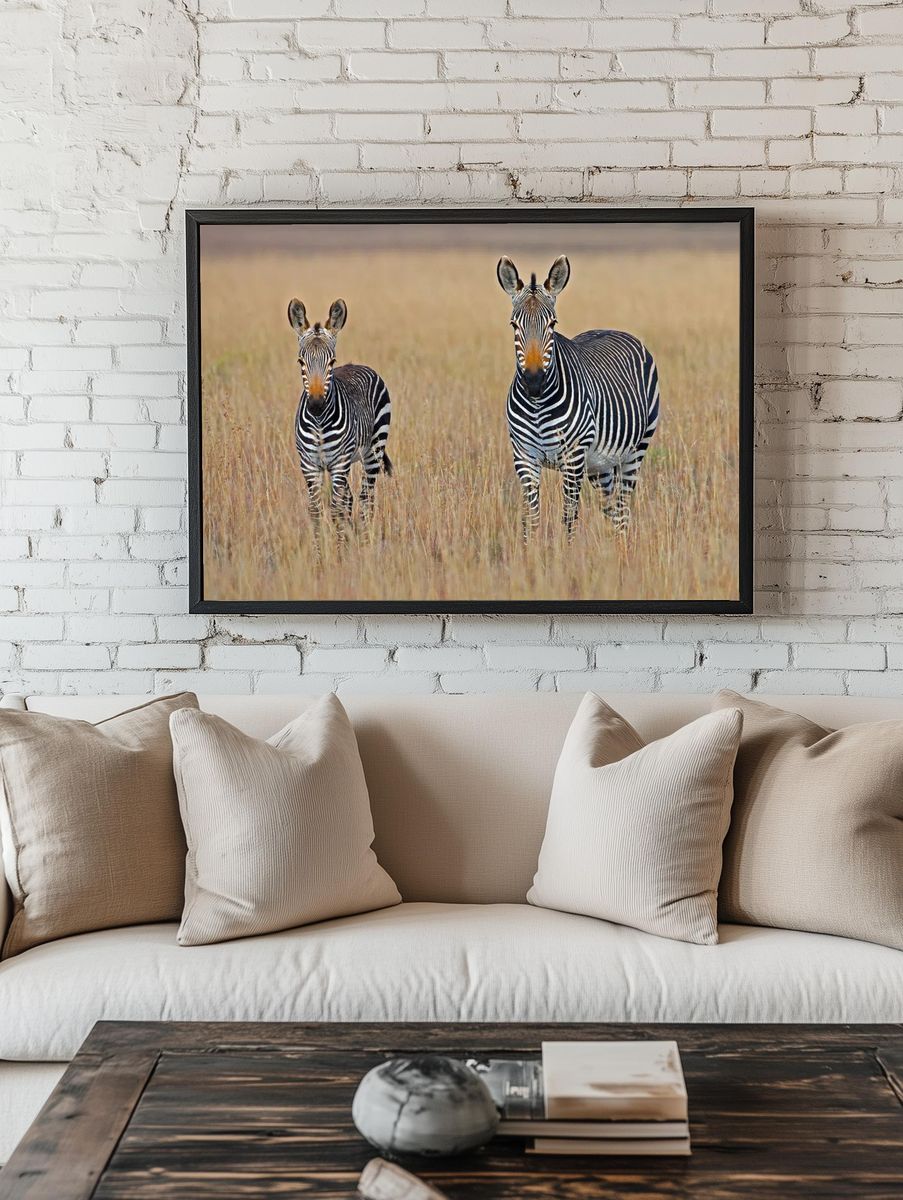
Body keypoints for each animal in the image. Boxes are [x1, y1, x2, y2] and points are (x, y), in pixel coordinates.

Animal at [287, 296, 392, 546]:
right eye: (300, 362)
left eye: (332, 362)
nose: (316, 405)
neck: (318, 423)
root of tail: (357, 364)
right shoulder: (309, 465)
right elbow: (316, 511)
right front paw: (320, 553)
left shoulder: (338, 464)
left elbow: (335, 510)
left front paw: (338, 553)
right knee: (351, 499)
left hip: (373, 452)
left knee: (365, 498)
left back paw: (365, 544)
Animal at [497, 254, 660, 543]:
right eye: (514, 325)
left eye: (552, 324)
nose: (534, 382)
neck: (538, 406)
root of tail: (613, 329)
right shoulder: (524, 457)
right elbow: (531, 519)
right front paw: (528, 553)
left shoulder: (573, 458)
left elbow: (568, 518)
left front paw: (566, 553)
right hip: (599, 464)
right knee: (610, 508)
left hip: (635, 452)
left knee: (622, 511)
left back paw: (621, 549)